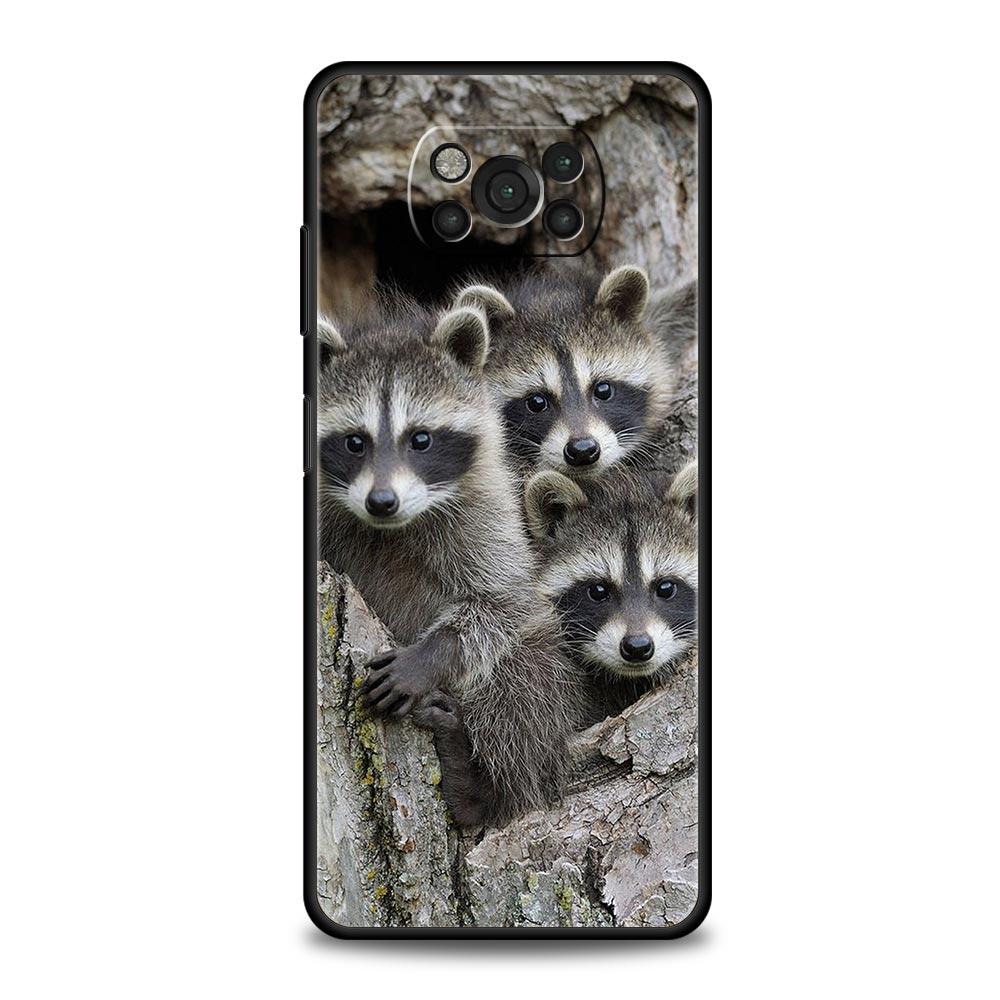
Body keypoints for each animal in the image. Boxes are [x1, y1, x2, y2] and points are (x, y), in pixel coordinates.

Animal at [318, 294, 578, 826]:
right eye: (355, 441)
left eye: (421, 439)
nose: (382, 501)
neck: (393, 526)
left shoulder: (487, 512)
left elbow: (505, 603)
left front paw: (427, 657)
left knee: (519, 684)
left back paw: (480, 787)